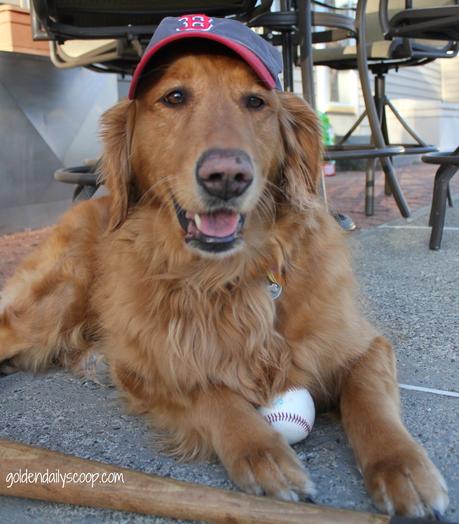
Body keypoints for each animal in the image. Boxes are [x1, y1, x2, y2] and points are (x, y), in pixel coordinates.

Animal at [0, 40, 448, 516]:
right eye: (175, 97)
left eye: (255, 102)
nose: (227, 177)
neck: (229, 274)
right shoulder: (150, 368)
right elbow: (210, 394)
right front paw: (263, 453)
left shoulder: (364, 345)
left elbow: (370, 401)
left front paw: (404, 469)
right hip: (53, 304)